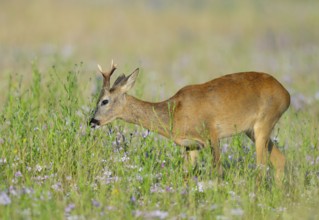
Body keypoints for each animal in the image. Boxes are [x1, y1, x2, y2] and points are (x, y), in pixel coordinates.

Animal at [89, 60, 290, 184]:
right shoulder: (190, 145)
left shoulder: (211, 133)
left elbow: (218, 170)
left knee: (261, 166)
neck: (174, 113)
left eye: (104, 101)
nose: (92, 121)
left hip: (265, 121)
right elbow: (187, 174)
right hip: (252, 130)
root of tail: (286, 94)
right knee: (279, 160)